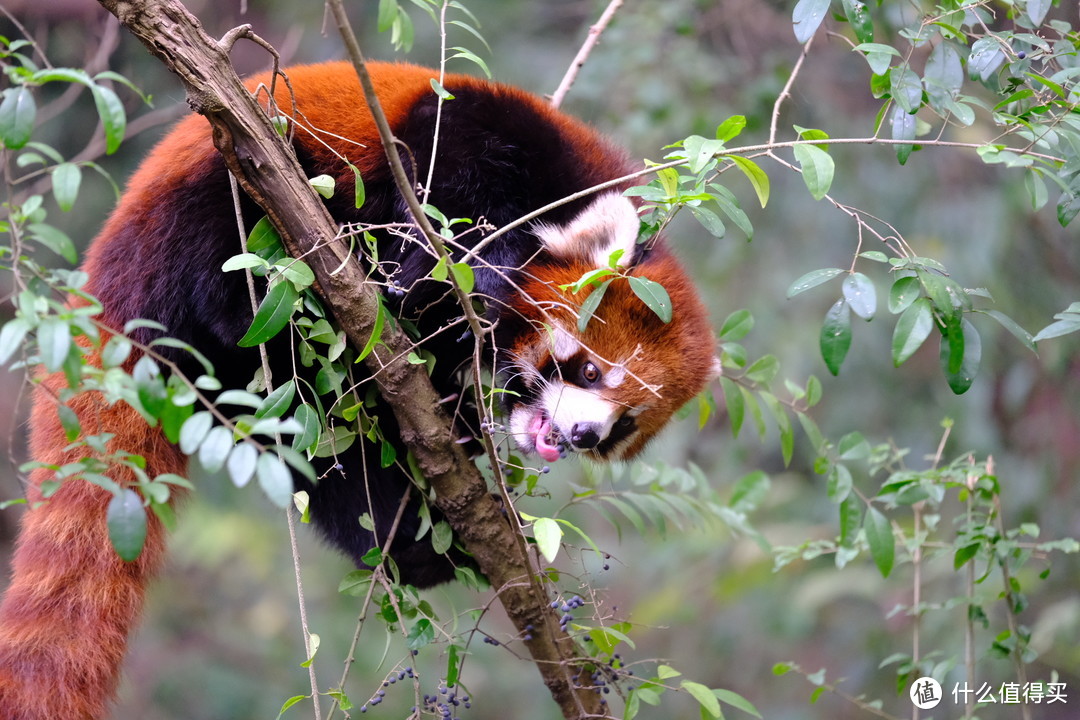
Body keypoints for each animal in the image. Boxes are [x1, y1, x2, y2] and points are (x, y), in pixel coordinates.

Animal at [0, 63, 717, 720]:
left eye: (623, 425)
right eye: (590, 372)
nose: (581, 434)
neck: (567, 187)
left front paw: (459, 402)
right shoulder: (478, 130)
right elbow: (440, 200)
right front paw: (460, 285)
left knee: (332, 460)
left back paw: (414, 543)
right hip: (218, 185)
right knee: (233, 253)